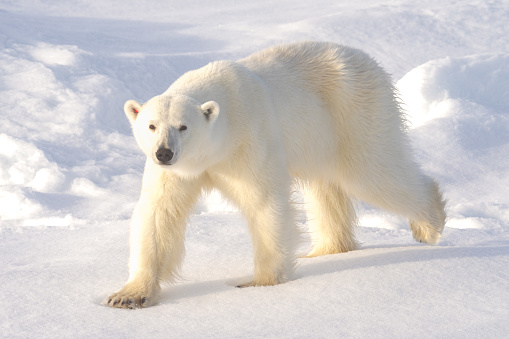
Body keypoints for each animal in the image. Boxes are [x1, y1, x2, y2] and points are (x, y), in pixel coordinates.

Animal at [104, 41, 444, 310]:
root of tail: (367, 60)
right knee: (327, 188)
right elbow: (159, 214)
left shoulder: (249, 139)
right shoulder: (176, 173)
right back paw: (326, 250)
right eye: (151, 125)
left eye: (183, 126)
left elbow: (265, 202)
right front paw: (127, 296)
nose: (164, 153)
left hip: (353, 113)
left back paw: (429, 224)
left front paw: (259, 284)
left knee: (372, 171)